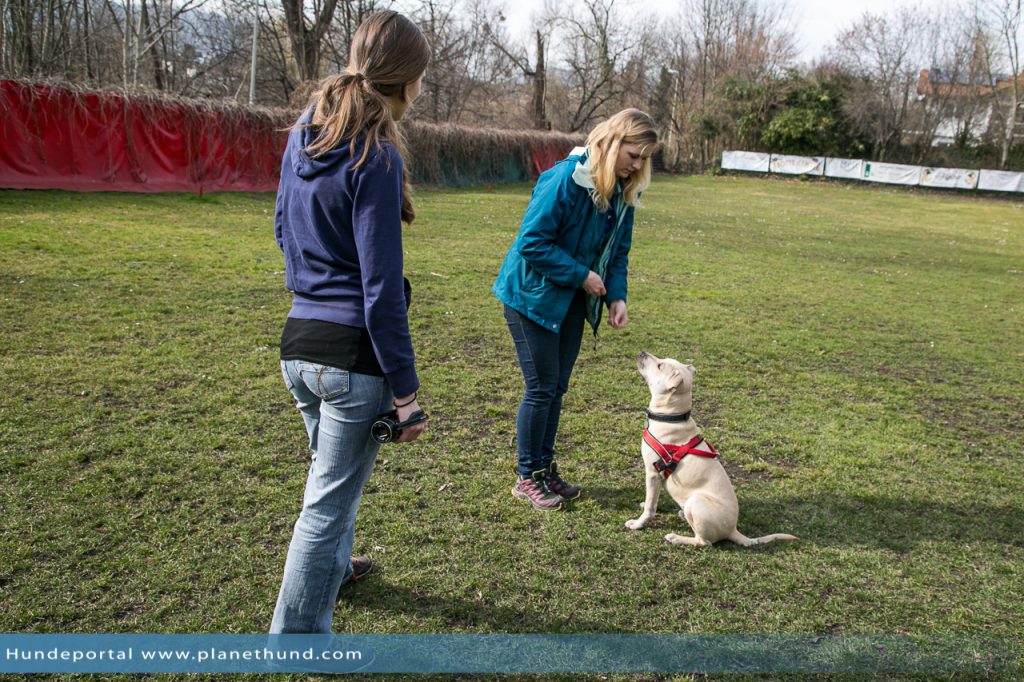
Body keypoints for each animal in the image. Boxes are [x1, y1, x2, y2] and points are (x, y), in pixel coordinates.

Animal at [622, 350, 798, 548]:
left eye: (660, 365)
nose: (642, 352)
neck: (672, 416)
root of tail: (733, 530)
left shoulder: (652, 473)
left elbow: (650, 507)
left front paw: (638, 523)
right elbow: (652, 500)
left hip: (696, 501)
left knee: (704, 542)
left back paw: (677, 537)